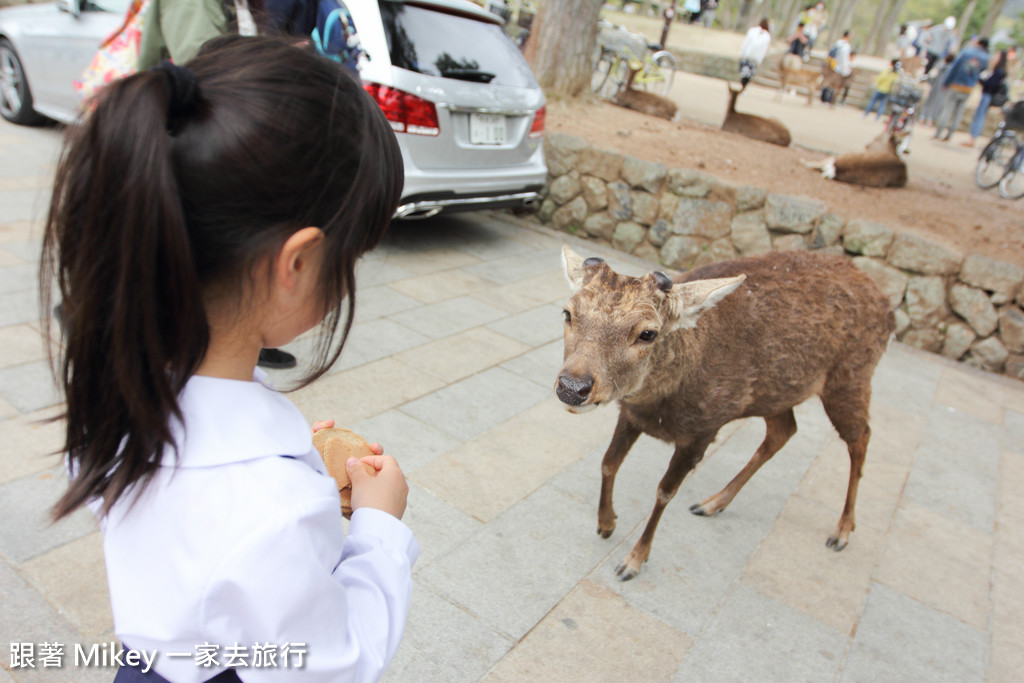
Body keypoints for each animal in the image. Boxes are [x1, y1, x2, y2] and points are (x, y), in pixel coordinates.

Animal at [557, 245, 892, 581]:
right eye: (567, 313)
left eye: (648, 333)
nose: (573, 386)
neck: (660, 405)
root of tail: (885, 302)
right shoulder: (631, 413)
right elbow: (608, 462)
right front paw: (606, 523)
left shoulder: (703, 430)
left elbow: (665, 492)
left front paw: (633, 561)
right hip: (775, 394)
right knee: (784, 431)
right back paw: (712, 503)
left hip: (851, 378)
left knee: (861, 437)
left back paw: (843, 531)